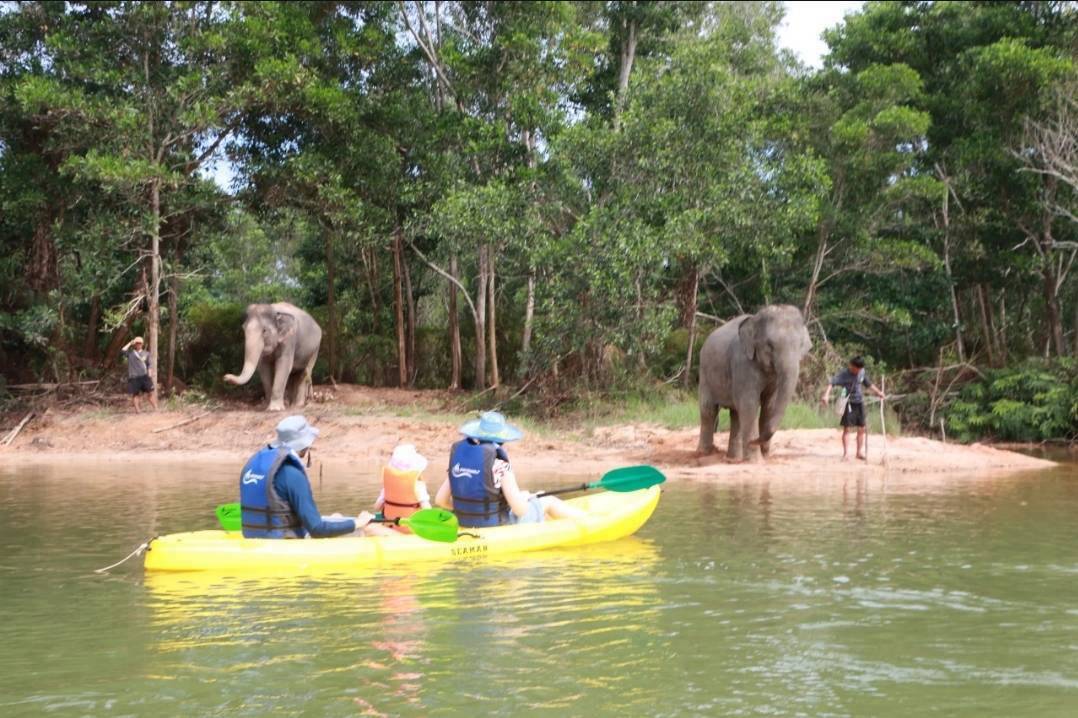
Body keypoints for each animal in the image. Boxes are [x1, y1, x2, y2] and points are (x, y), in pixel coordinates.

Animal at [697, 304, 812, 462]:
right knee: (709, 409)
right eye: (769, 345)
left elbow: (769, 406)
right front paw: (756, 460)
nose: (755, 441)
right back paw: (704, 454)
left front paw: (763, 456)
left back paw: (733, 459)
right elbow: (750, 403)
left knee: (736, 414)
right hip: (704, 373)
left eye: (801, 345)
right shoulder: (743, 362)